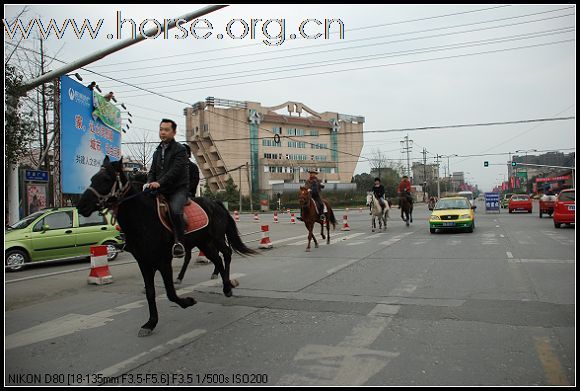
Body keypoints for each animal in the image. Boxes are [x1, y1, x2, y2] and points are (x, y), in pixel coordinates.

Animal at [77, 158, 258, 338]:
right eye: (92, 178)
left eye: (106, 179)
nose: (81, 205)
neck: (144, 218)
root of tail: (216, 203)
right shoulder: (143, 262)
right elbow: (150, 292)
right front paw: (150, 323)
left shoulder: (163, 260)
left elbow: (170, 293)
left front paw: (187, 301)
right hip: (204, 243)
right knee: (218, 260)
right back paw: (225, 285)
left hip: (217, 238)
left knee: (226, 253)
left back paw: (227, 286)